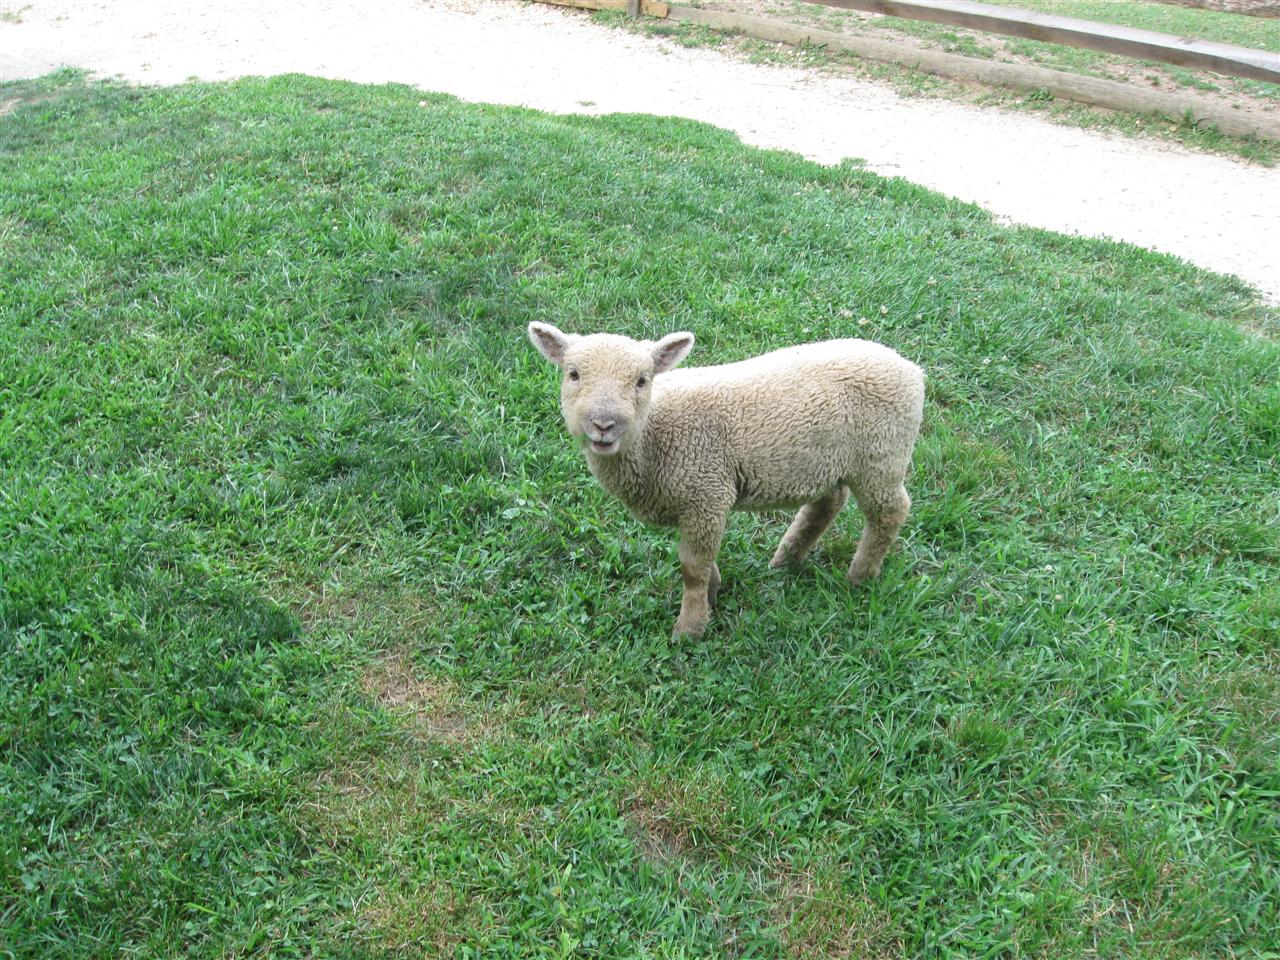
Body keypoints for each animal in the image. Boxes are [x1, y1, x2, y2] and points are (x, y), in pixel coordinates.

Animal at [526, 322, 925, 637]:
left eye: (642, 380)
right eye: (573, 374)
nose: (603, 425)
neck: (655, 435)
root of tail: (911, 369)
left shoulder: (707, 492)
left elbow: (693, 567)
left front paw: (691, 629)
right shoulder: (696, 502)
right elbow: (702, 562)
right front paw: (713, 595)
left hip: (882, 455)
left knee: (890, 511)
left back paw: (860, 575)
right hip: (828, 460)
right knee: (828, 502)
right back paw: (786, 559)